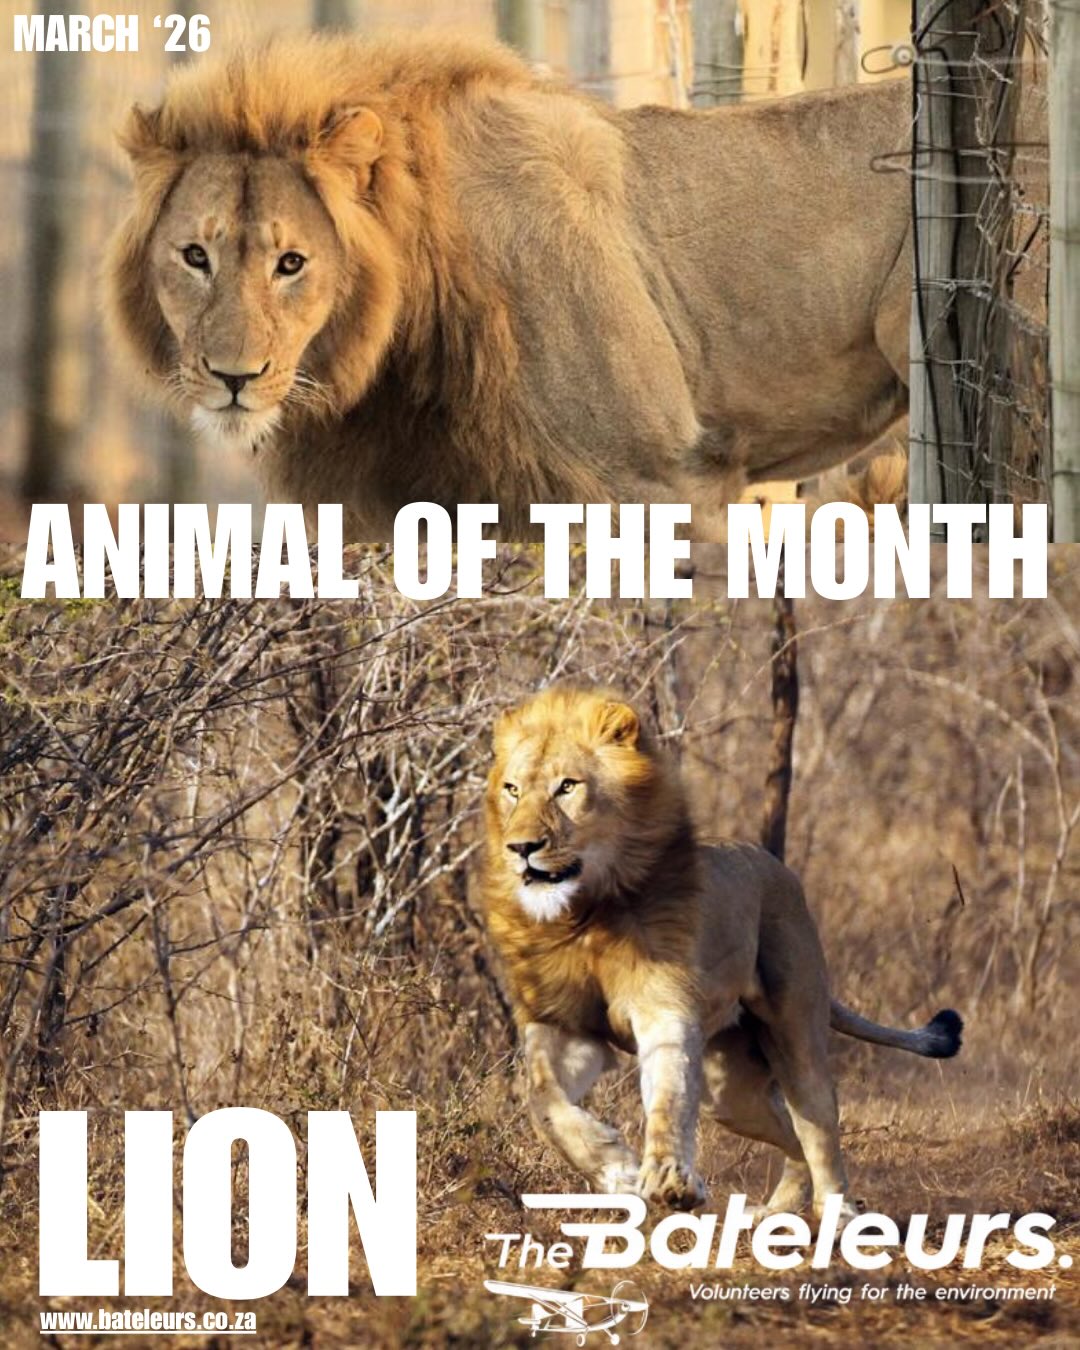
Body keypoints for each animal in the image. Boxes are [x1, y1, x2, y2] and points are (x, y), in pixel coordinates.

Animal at [481, 685, 962, 1215]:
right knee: (791, 1135)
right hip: (726, 1093)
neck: (584, 914)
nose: (521, 847)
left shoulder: (664, 1009)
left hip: (796, 1036)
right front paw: (617, 1170)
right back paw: (776, 1209)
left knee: (818, 1129)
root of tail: (776, 866)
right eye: (512, 790)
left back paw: (836, 1215)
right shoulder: (562, 1024)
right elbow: (542, 1102)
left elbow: (668, 1097)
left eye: (567, 787)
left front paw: (668, 1178)